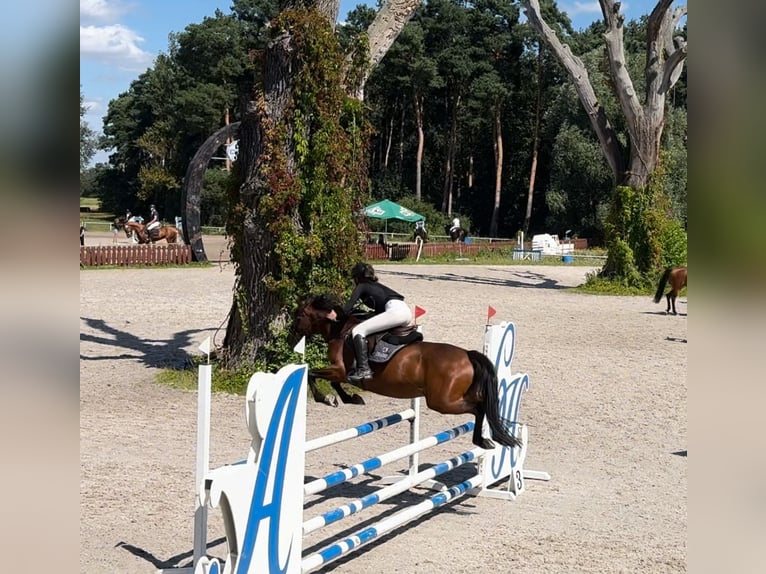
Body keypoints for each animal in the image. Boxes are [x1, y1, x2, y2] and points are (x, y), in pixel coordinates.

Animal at [292, 294, 524, 452]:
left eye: (300, 315)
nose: (290, 335)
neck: (340, 330)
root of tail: (467, 354)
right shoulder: (340, 372)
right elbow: (331, 382)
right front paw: (351, 398)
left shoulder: (340, 370)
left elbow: (314, 376)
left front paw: (328, 399)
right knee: (482, 404)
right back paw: (485, 440)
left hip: (442, 401)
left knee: (478, 407)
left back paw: (481, 441)